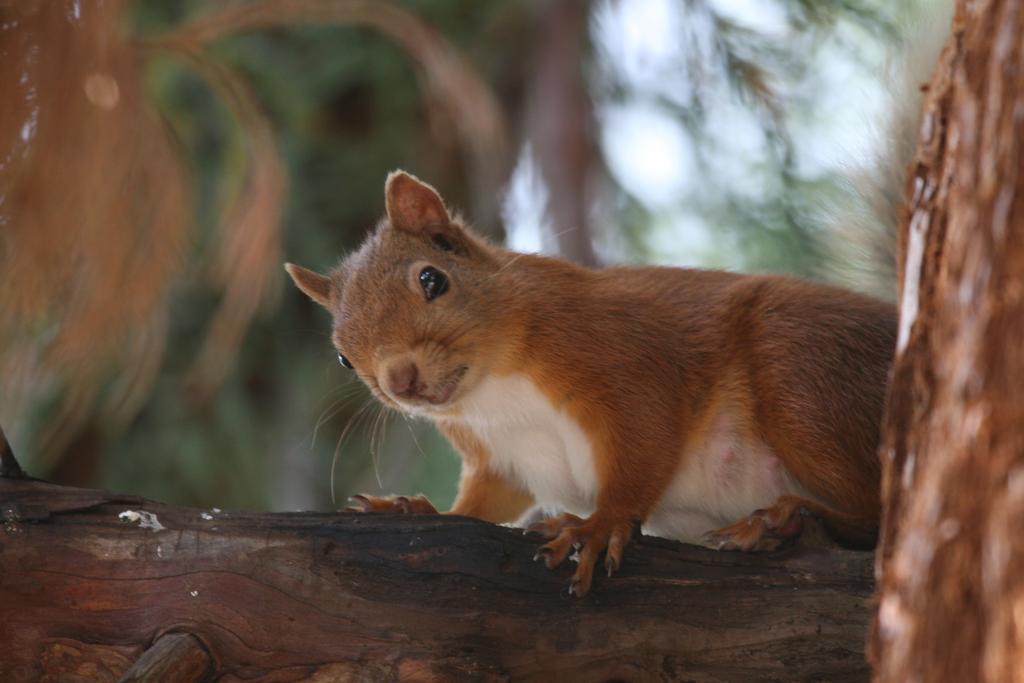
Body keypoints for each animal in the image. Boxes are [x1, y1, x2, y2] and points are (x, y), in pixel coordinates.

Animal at [284, 172, 892, 598]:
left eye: (432, 279)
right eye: (343, 357)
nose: (400, 380)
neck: (494, 395)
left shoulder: (628, 363)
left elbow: (643, 446)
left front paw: (599, 524)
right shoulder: (498, 457)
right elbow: (484, 503)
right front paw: (417, 509)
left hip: (801, 376)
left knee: (876, 510)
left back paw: (783, 519)